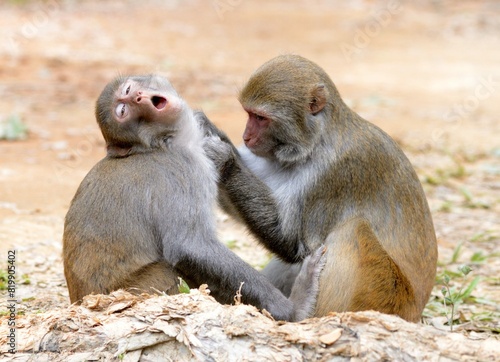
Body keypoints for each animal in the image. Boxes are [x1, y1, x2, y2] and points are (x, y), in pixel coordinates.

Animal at [61, 74, 324, 322]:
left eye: (127, 91)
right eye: (123, 112)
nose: (137, 97)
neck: (163, 143)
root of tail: (79, 301)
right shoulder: (183, 171)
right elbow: (190, 247)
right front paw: (292, 310)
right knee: (167, 269)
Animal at [202, 54, 438, 322]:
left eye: (260, 118)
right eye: (248, 113)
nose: (246, 137)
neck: (313, 145)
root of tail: (415, 313)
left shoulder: (334, 175)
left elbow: (293, 243)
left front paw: (226, 160)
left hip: (385, 297)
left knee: (352, 230)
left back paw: (302, 313)